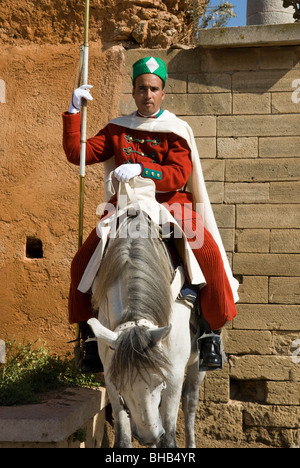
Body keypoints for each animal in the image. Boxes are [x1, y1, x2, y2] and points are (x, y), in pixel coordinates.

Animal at [88, 182, 205, 446]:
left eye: (159, 381)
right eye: (121, 385)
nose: (148, 434)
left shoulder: (173, 375)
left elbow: (169, 436)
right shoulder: (110, 375)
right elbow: (122, 437)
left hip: (198, 364)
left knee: (190, 403)